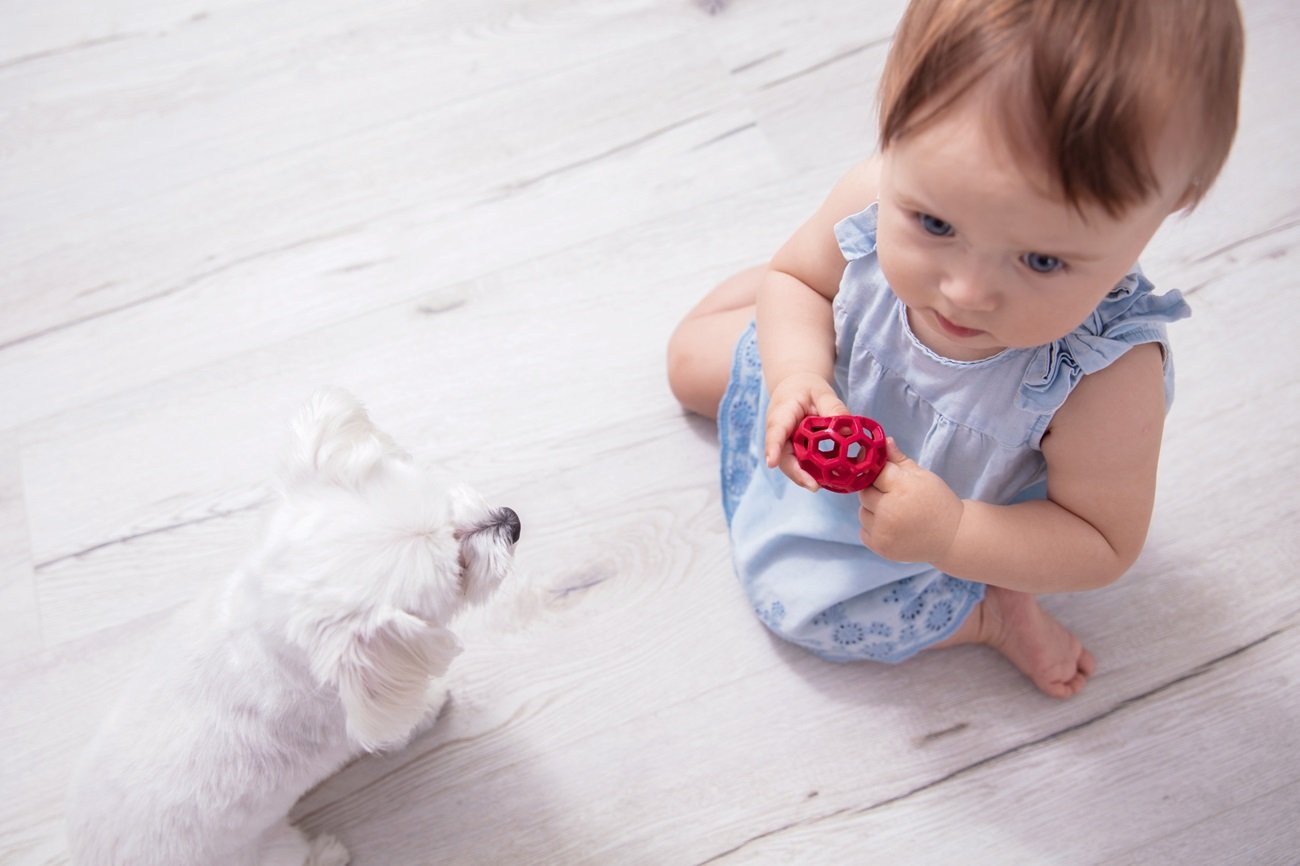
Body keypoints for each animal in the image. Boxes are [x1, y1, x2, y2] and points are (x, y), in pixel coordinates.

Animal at [65, 387, 520, 858]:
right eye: (459, 570)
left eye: (444, 503)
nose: (513, 521)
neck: (254, 643)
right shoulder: (359, 725)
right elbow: (399, 727)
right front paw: (429, 706)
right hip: (268, 849)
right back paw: (328, 853)